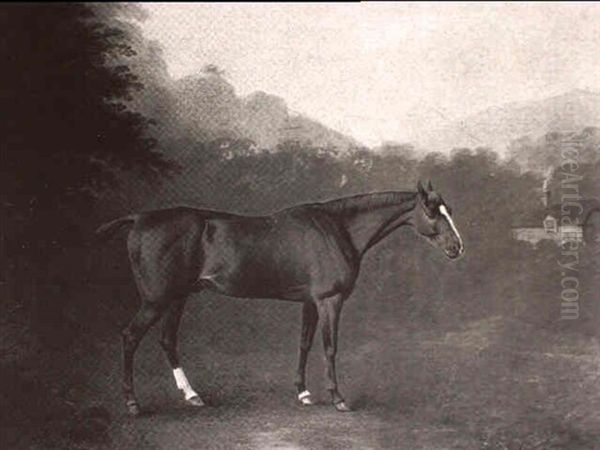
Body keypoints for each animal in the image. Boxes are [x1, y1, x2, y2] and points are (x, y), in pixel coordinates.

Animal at [97, 179, 464, 414]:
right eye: (433, 212)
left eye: (449, 209)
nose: (457, 247)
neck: (338, 228)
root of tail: (140, 218)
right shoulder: (330, 300)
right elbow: (330, 347)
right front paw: (338, 398)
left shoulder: (310, 302)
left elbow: (304, 343)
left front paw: (303, 393)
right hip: (157, 300)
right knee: (130, 337)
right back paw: (133, 403)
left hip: (178, 298)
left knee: (167, 340)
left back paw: (192, 396)